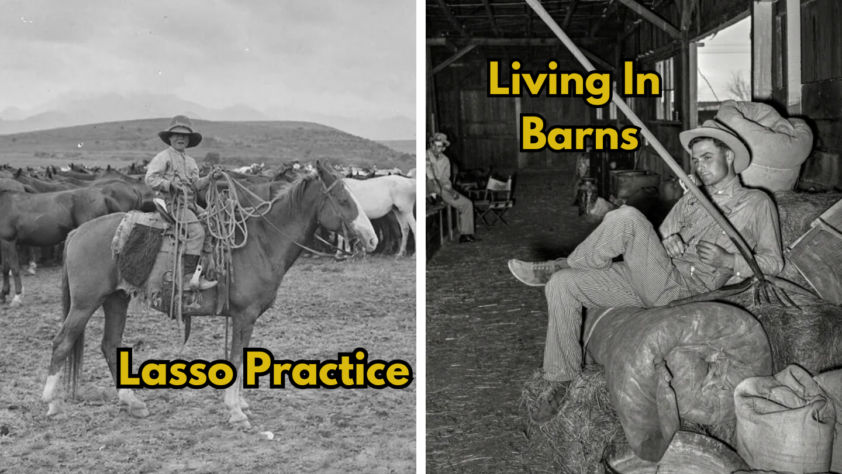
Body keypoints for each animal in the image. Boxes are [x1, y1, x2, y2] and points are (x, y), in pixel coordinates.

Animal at [41, 161, 378, 428]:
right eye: (343, 199)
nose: (372, 239)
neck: (262, 242)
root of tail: (78, 231)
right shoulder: (244, 315)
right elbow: (238, 359)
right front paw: (235, 411)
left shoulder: (246, 318)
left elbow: (242, 358)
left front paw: (240, 404)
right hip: (86, 302)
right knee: (62, 342)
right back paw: (52, 403)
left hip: (116, 299)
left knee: (109, 344)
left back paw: (132, 402)